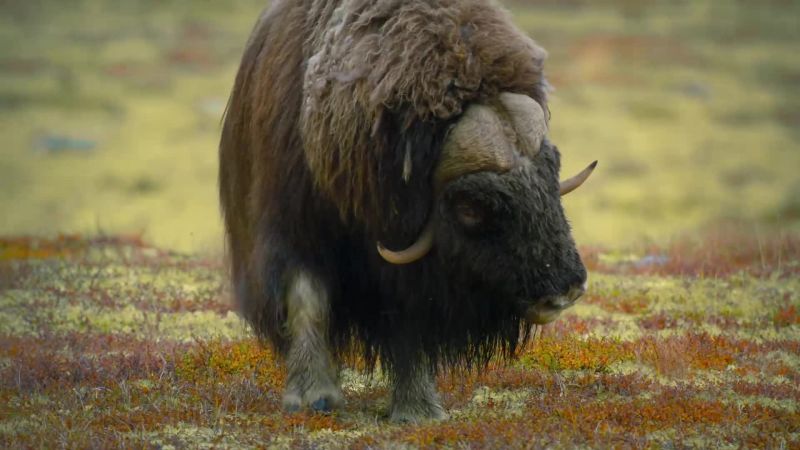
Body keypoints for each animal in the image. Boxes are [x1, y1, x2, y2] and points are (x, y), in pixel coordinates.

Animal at [219, 0, 595, 422]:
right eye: (470, 207)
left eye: (553, 169)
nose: (565, 292)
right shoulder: (292, 224)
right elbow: (306, 299)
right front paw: (313, 396)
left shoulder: (407, 268)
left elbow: (408, 318)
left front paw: (419, 410)